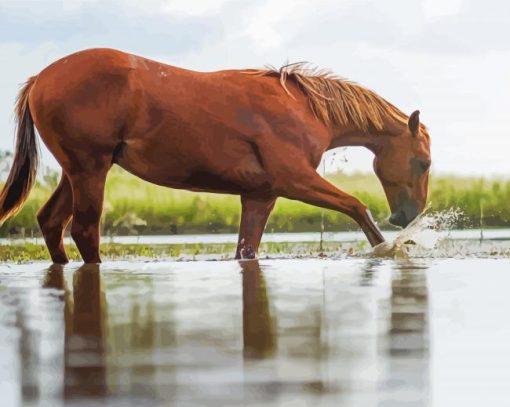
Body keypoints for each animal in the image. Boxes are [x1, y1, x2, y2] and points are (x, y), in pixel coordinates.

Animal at [0, 48, 432, 264]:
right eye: (423, 162)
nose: (408, 215)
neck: (304, 108)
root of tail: (40, 79)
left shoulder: (260, 195)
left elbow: (247, 250)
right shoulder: (295, 181)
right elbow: (357, 206)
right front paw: (389, 248)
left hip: (77, 172)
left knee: (51, 223)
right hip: (90, 170)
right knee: (84, 231)